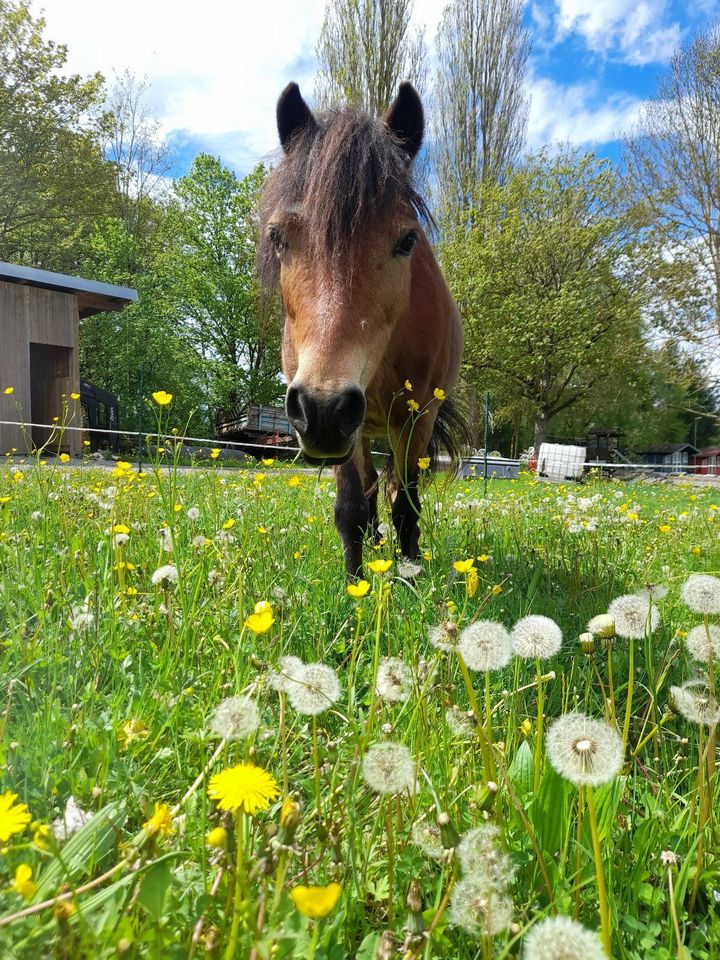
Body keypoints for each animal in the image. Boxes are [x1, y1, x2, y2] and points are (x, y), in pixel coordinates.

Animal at [262, 82, 464, 572]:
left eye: (407, 240)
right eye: (278, 237)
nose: (322, 407)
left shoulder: (416, 419)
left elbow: (405, 506)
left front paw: (410, 576)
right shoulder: (341, 431)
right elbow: (352, 506)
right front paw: (358, 581)